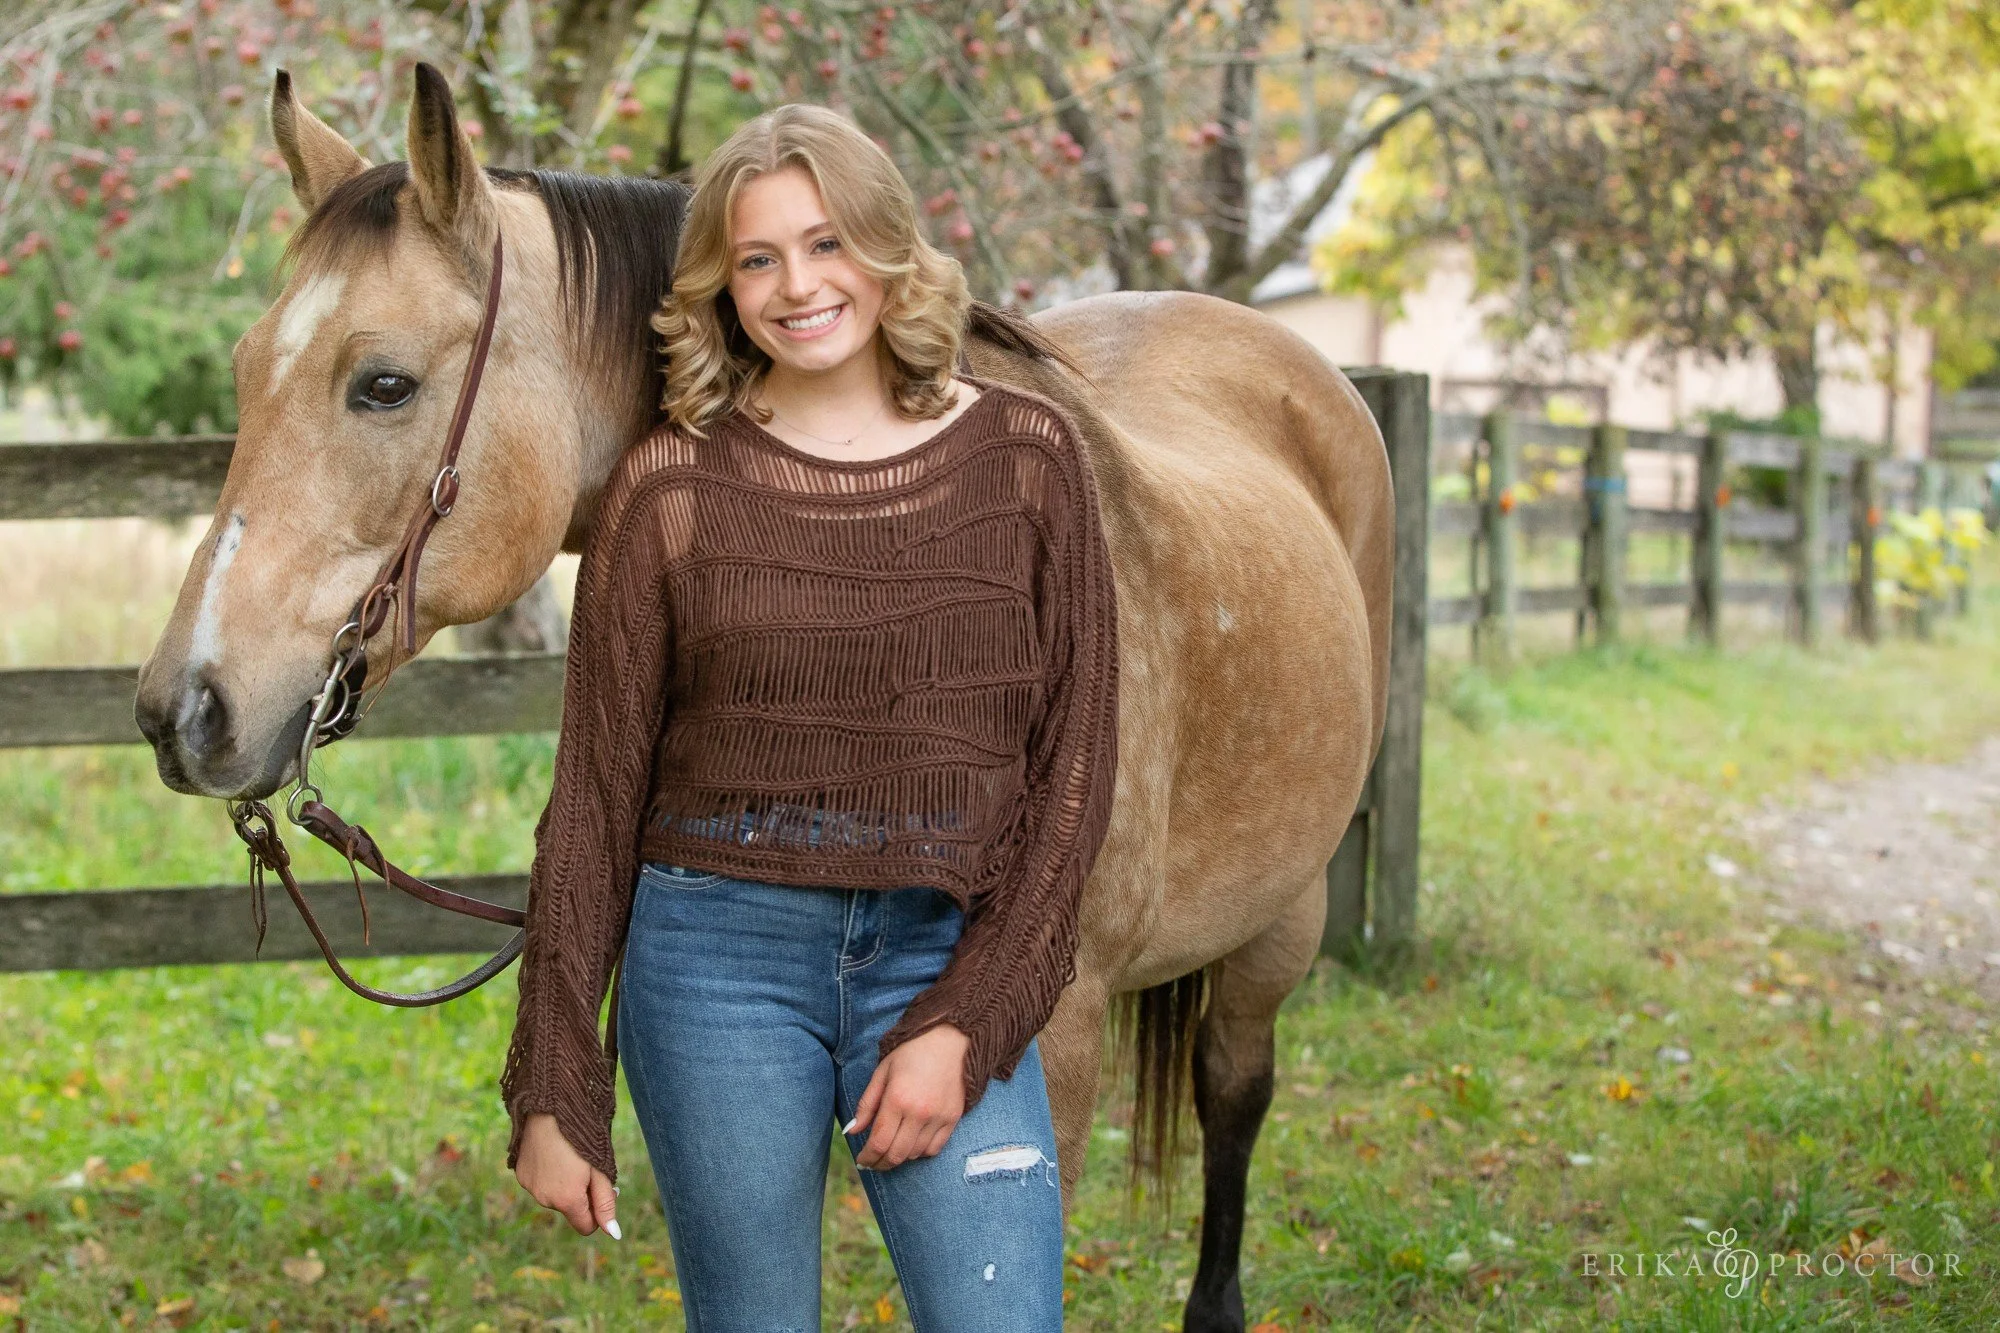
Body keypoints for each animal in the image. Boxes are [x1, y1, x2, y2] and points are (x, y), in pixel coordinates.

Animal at [133, 65, 1392, 1333]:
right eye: (244, 372)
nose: (180, 710)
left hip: (1278, 924)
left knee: (1232, 1093)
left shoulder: (1055, 1034)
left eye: (382, 384)